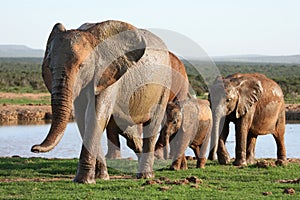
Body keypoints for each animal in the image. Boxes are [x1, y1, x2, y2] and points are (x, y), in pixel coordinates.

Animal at [30, 19, 173, 183]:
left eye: (81, 66)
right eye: (49, 67)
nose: (34, 148)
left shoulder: (108, 73)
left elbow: (95, 116)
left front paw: (84, 181)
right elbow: (83, 119)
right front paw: (101, 177)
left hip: (164, 83)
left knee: (152, 125)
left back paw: (145, 175)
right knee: (126, 129)